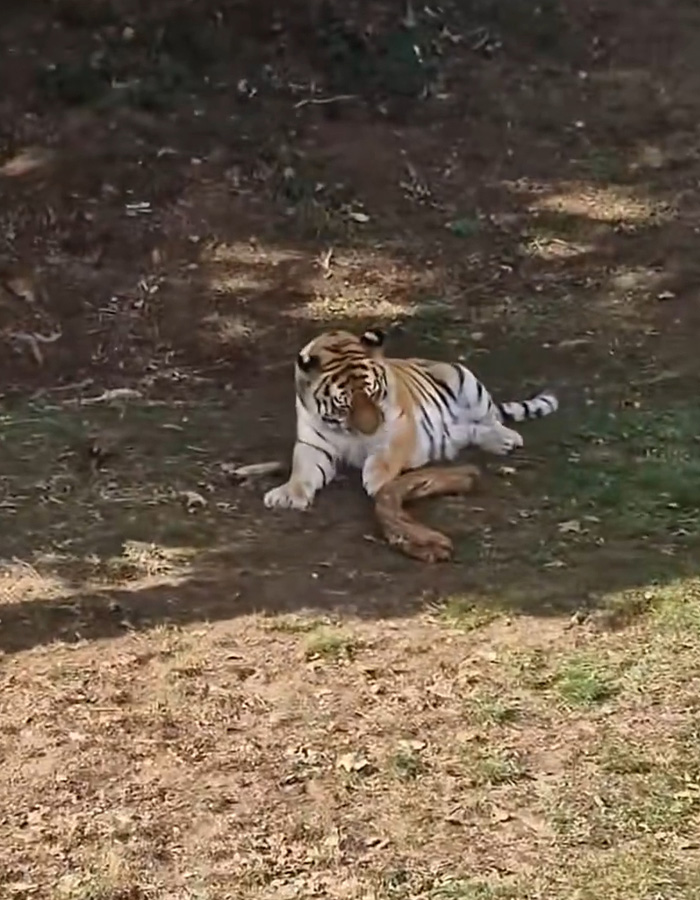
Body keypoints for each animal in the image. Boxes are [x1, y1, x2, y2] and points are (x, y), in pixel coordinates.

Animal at [263, 328, 558, 511]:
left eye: (372, 393)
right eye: (343, 404)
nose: (370, 430)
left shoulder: (401, 426)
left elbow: (387, 455)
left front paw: (375, 478)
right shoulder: (313, 444)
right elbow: (302, 470)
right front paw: (287, 494)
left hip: (467, 384)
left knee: (492, 419)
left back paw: (507, 438)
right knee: (473, 431)